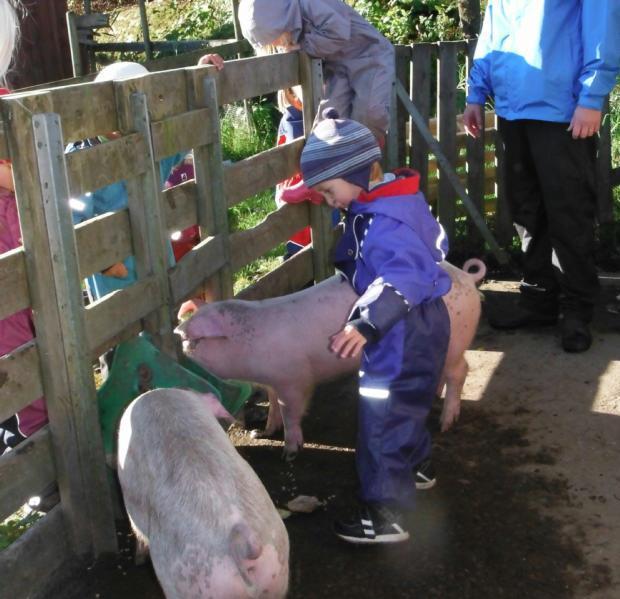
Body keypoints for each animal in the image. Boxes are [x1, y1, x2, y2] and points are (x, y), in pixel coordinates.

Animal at [174, 260, 484, 458]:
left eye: (198, 340)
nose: (180, 337)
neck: (252, 342)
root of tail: (467, 278)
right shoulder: (273, 381)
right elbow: (273, 408)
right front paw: (262, 432)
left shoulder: (294, 379)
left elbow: (290, 411)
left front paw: (289, 452)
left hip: (455, 344)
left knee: (460, 371)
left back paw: (445, 423)